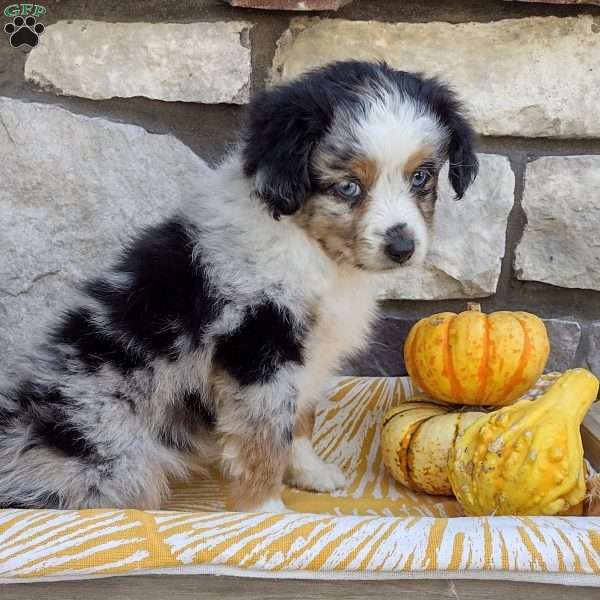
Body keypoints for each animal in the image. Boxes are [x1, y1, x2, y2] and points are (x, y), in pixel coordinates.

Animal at [0, 61, 478, 510]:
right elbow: (263, 437)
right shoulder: (257, 348)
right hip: (103, 453)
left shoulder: (306, 356)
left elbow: (297, 422)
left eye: (421, 177)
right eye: (347, 187)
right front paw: (267, 509)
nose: (402, 247)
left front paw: (309, 473)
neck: (315, 249)